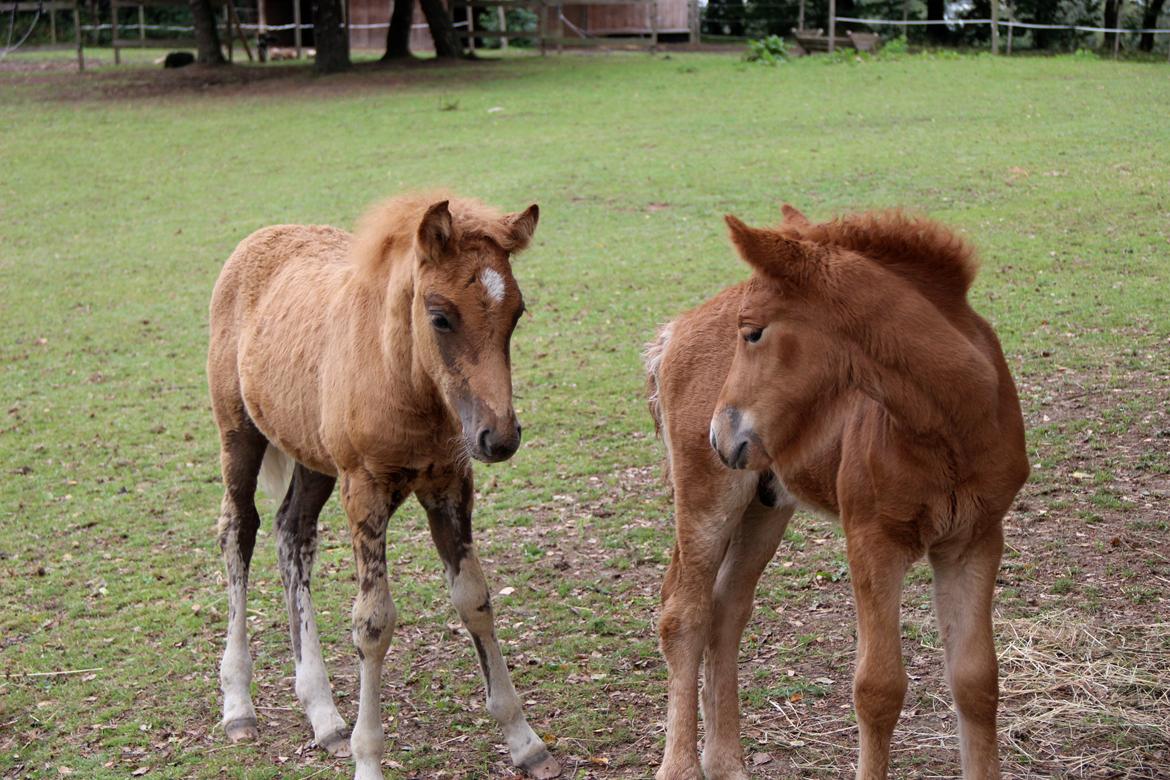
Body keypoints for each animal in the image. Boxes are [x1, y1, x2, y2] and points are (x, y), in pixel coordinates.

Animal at [208, 194, 559, 780]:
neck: (404, 376)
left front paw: (525, 741)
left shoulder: (449, 486)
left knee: (292, 533)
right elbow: (373, 622)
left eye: (516, 313)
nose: (500, 438)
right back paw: (239, 705)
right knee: (240, 529)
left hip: (314, 458)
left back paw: (324, 715)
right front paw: (368, 757)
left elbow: (475, 600)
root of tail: (258, 238)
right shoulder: (365, 490)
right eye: (440, 316)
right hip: (240, 433)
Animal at [645, 205, 1029, 780]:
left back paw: (728, 763)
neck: (951, 429)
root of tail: (677, 328)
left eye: (753, 333)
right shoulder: (872, 541)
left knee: (727, 610)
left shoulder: (975, 541)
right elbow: (878, 689)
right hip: (707, 498)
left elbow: (977, 680)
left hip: (764, 509)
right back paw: (683, 768)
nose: (720, 434)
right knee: (683, 615)